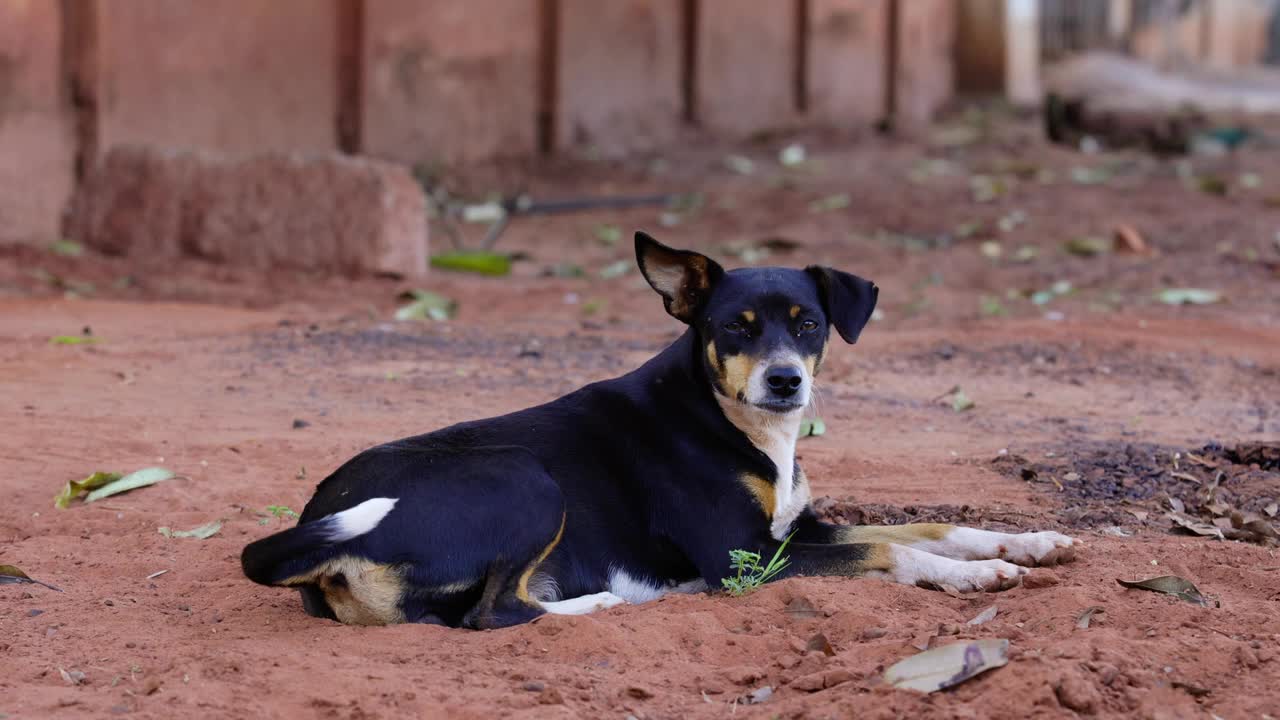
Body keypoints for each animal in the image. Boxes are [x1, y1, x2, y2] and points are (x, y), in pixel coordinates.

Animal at [241, 233, 1080, 625]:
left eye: (808, 323)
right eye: (736, 328)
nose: (786, 380)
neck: (726, 419)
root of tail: (318, 528)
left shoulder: (796, 531)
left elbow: (929, 526)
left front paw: (1026, 544)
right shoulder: (746, 556)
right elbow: (891, 550)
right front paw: (977, 577)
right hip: (525, 477)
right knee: (492, 613)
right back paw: (604, 605)